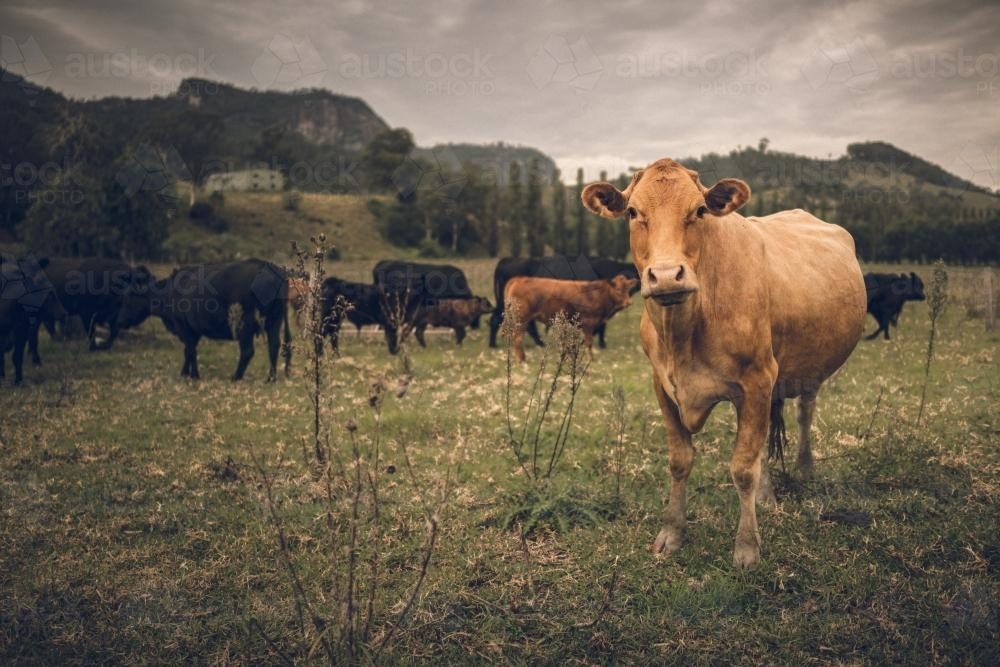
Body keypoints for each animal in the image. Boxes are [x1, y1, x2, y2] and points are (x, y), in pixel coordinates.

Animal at [123, 258, 292, 380]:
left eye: (129, 299)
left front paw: (192, 375)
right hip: (274, 320)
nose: (121, 321)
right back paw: (271, 378)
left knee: (248, 351)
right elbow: (189, 351)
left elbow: (190, 350)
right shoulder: (193, 330)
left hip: (243, 323)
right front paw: (187, 373)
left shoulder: (184, 326)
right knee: (274, 345)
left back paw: (236, 376)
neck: (170, 292)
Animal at [504, 274, 636, 362]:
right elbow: (588, 343)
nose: (629, 302)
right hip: (521, 319)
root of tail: (519, 279)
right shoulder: (588, 323)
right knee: (517, 338)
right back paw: (521, 360)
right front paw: (590, 359)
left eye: (629, 290)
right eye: (618, 289)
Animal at [584, 159, 864, 568]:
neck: (683, 335)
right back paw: (767, 496)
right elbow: (681, 460)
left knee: (804, 414)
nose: (666, 276)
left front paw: (747, 547)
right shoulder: (663, 385)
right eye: (633, 212)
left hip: (806, 371)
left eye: (699, 210)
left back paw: (805, 468)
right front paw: (672, 532)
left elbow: (743, 468)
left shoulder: (757, 379)